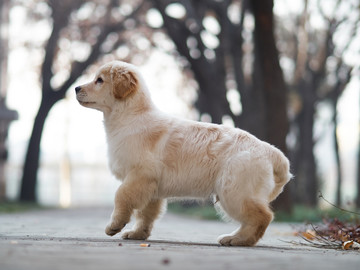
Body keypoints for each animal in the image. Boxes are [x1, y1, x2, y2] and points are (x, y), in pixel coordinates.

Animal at [74, 61, 292, 247]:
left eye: (99, 80)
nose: (76, 88)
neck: (130, 116)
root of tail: (270, 151)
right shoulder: (150, 186)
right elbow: (146, 214)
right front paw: (138, 234)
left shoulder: (139, 175)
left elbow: (121, 196)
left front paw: (115, 225)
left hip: (234, 191)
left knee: (262, 216)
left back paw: (237, 239)